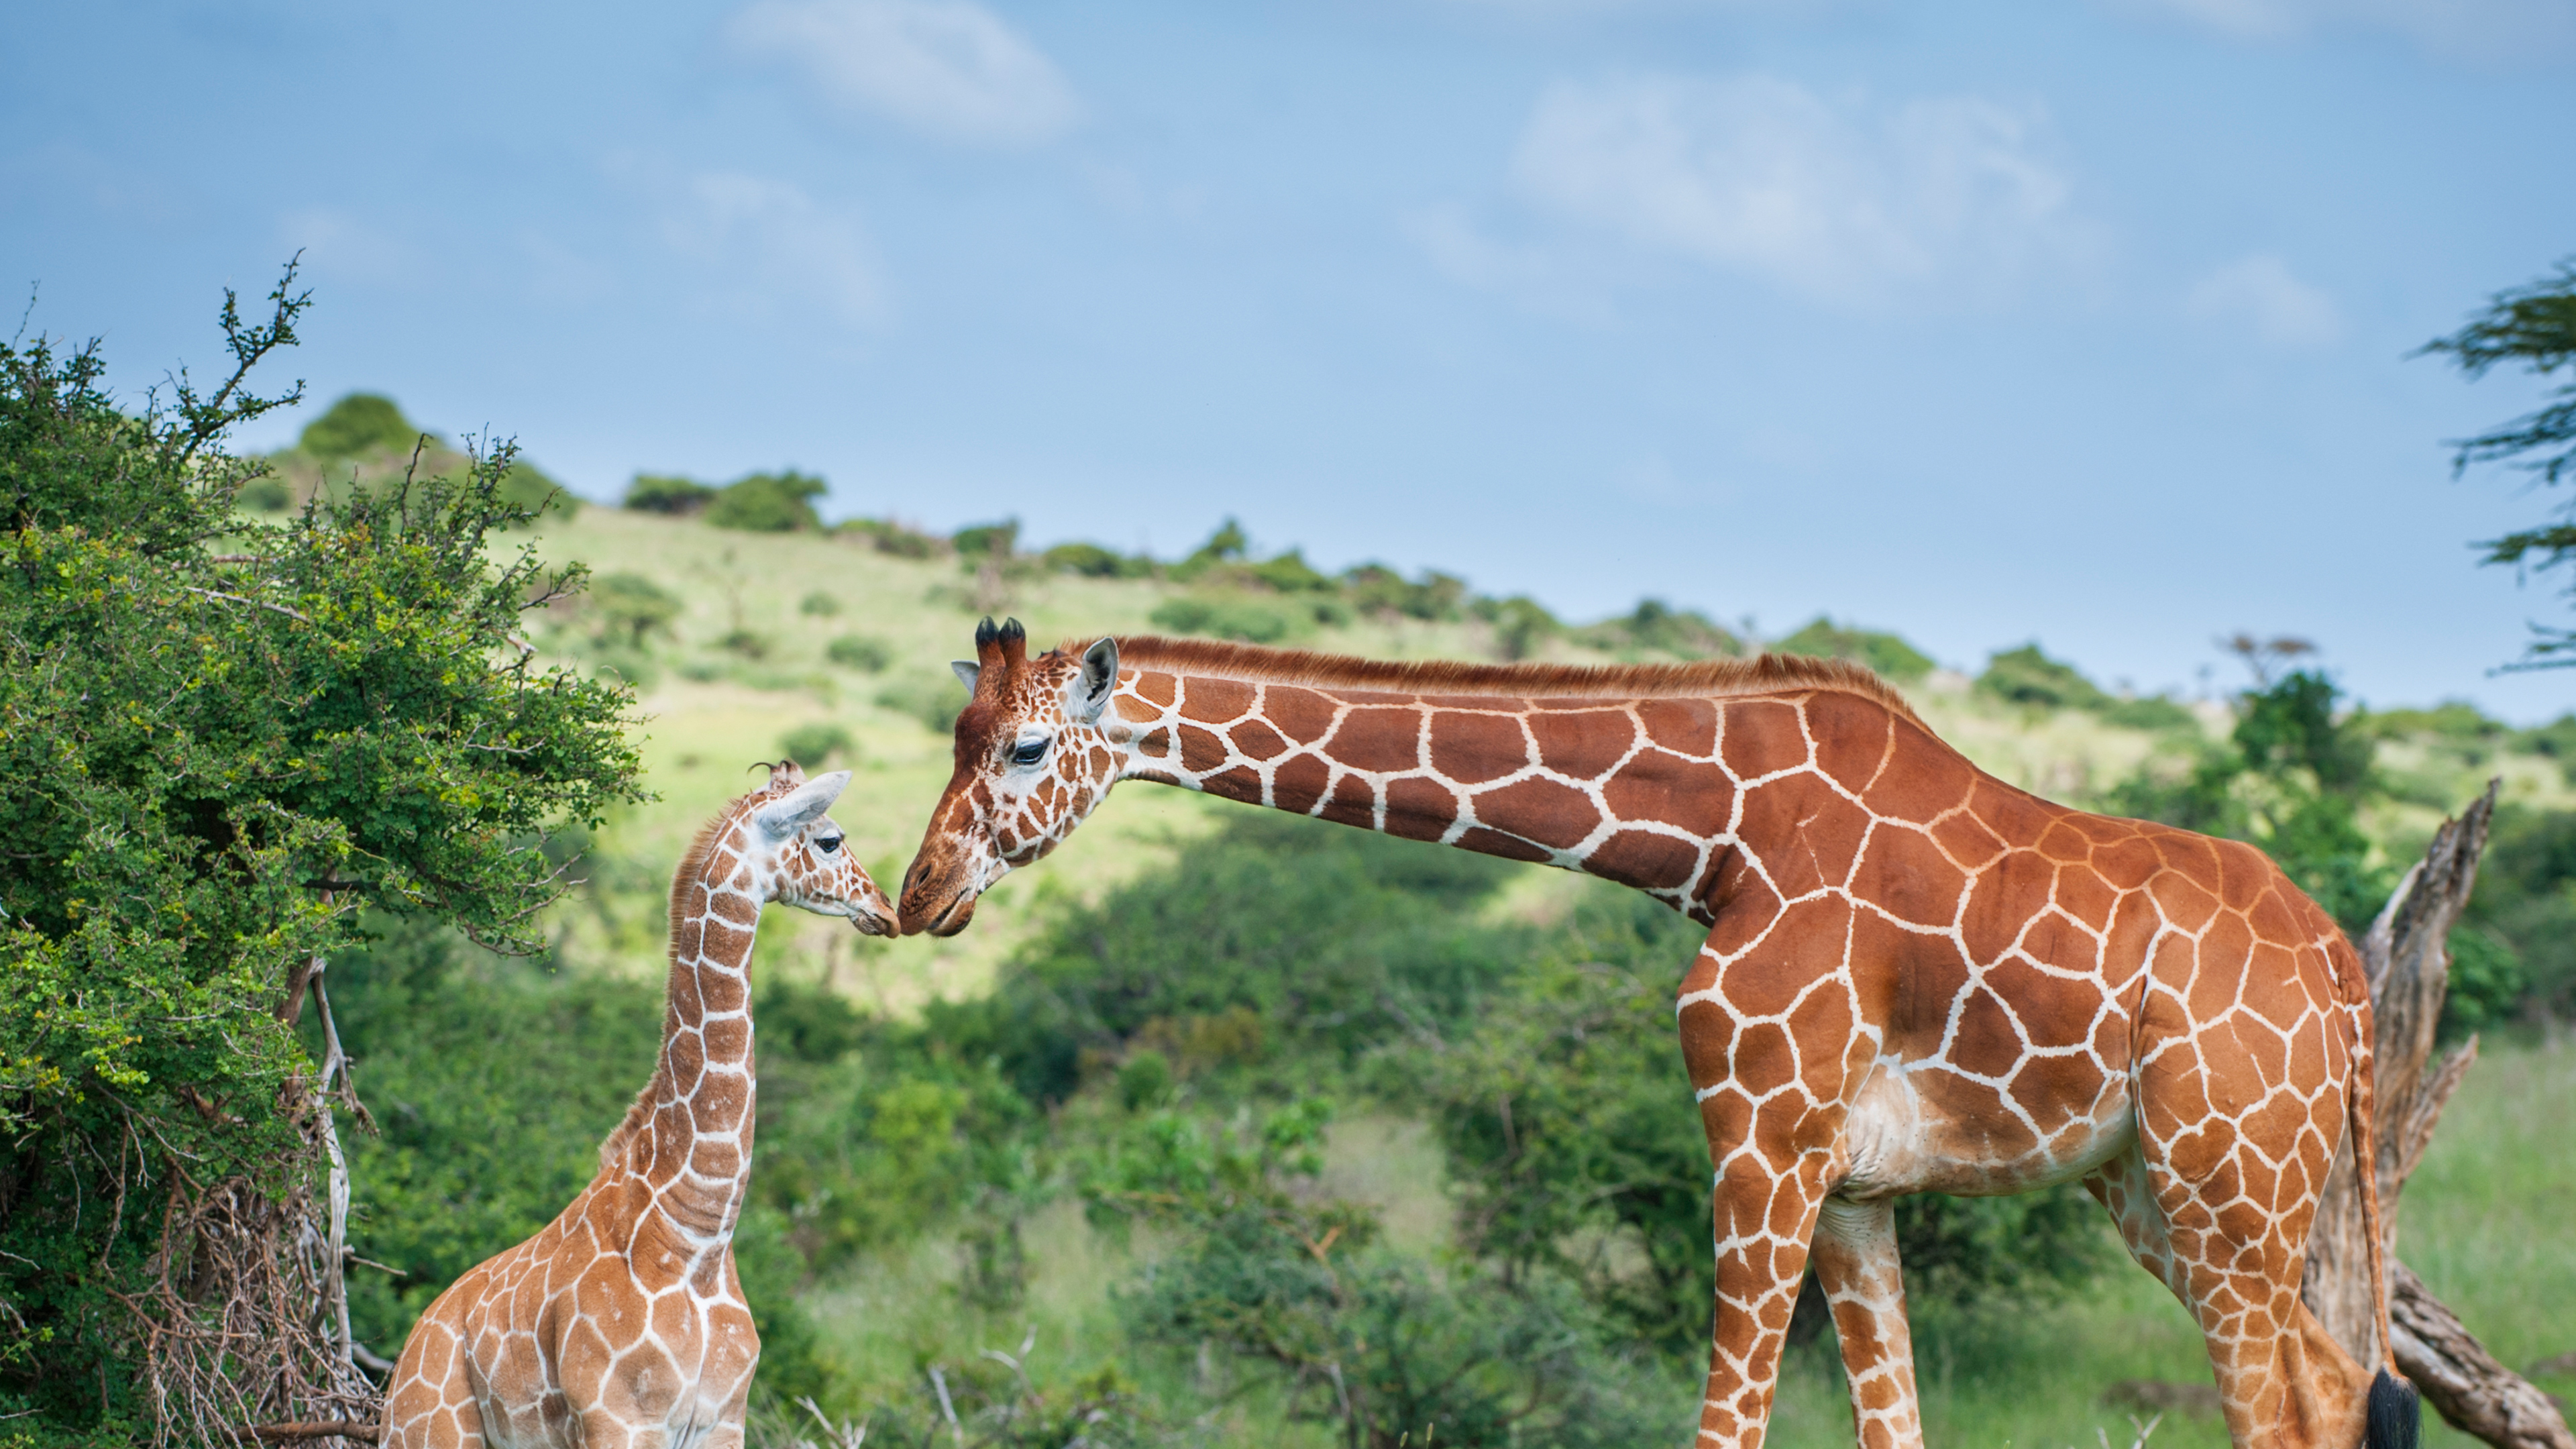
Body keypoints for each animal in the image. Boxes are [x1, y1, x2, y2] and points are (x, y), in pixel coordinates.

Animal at [381, 763, 896, 1433]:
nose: (886, 910)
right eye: (830, 840)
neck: (698, 1236)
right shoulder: (617, 1418)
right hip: (429, 1432)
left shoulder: (723, 1419)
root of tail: (399, 1366)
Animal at [902, 619, 2411, 1444]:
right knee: (2338, 1386)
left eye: (1025, 749)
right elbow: (1892, 1426)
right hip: (2158, 1187)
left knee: (2280, 1407)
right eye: (953, 735)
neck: (1719, 838)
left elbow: (1724, 1425)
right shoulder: (1854, 1184)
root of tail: (2343, 976)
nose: (920, 895)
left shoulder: (1762, 1143)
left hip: (2228, 1179)